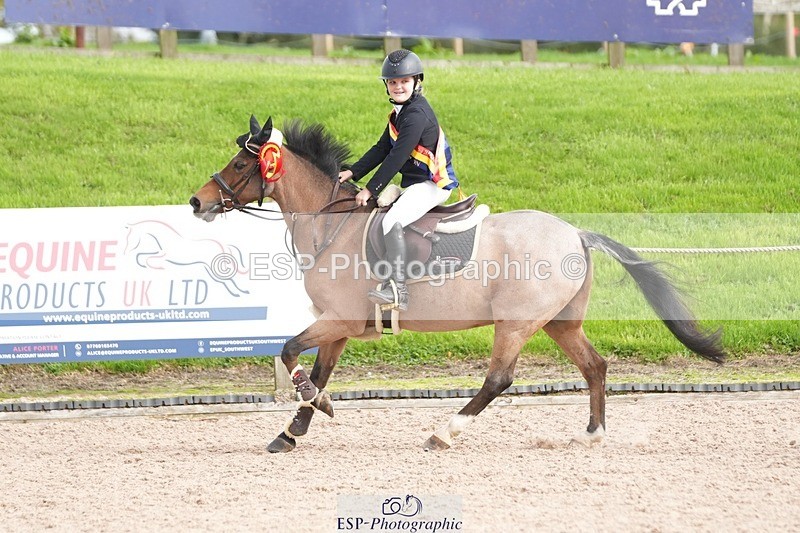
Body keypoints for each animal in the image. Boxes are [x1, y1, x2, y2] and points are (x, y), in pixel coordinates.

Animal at [190, 115, 725, 453]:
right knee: (595, 366)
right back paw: (592, 434)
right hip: (560, 323)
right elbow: (316, 372)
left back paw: (444, 433)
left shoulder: (338, 319)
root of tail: (575, 231)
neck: (331, 225)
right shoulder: (339, 326)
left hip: (516, 324)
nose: (197, 202)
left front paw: (310, 411)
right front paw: (296, 427)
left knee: (499, 379)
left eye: (242, 165)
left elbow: (287, 351)